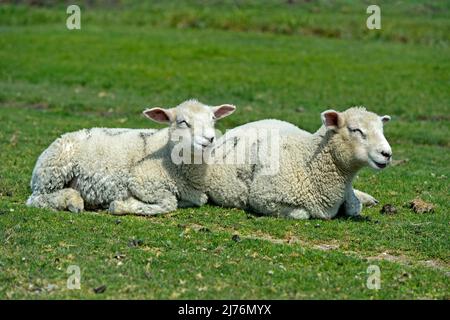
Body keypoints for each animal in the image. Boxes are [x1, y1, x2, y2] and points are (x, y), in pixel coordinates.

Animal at [25, 99, 236, 215]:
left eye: (213, 119)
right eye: (182, 122)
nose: (209, 139)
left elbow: (198, 199)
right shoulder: (141, 180)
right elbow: (169, 203)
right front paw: (121, 205)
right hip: (53, 171)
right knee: (36, 199)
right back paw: (72, 200)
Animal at [199, 107, 392, 220]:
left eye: (382, 130)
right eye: (355, 130)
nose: (387, 154)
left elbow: (354, 207)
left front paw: (361, 200)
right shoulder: (264, 198)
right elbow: (302, 214)